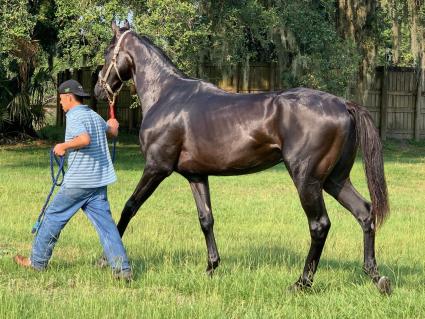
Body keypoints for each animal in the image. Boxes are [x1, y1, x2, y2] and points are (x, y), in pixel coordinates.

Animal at [94, 20, 390, 296]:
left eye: (108, 52)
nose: (98, 89)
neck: (167, 96)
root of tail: (343, 104)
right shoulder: (196, 175)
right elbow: (206, 219)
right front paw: (211, 267)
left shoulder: (156, 168)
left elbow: (129, 207)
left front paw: (106, 261)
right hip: (334, 179)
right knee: (364, 213)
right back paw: (376, 277)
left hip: (308, 180)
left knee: (319, 225)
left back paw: (302, 283)